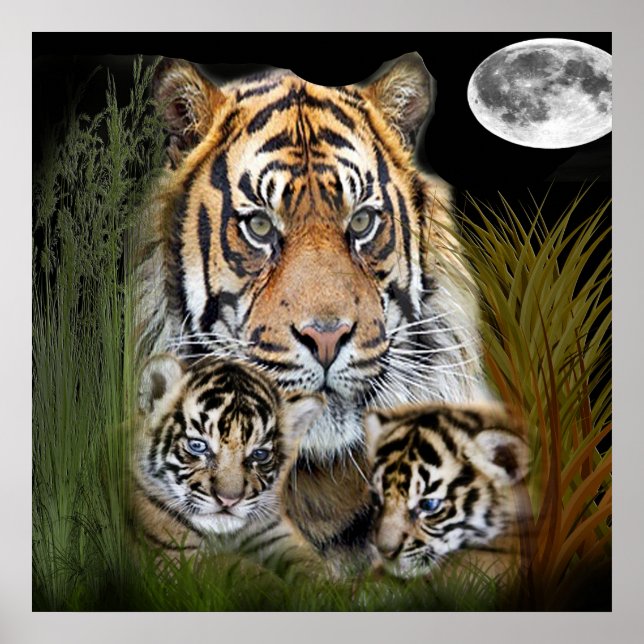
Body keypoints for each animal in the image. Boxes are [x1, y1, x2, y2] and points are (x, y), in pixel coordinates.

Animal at [133, 353, 324, 567]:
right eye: (198, 445)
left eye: (259, 454)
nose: (228, 501)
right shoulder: (174, 556)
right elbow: (239, 567)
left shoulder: (276, 531)